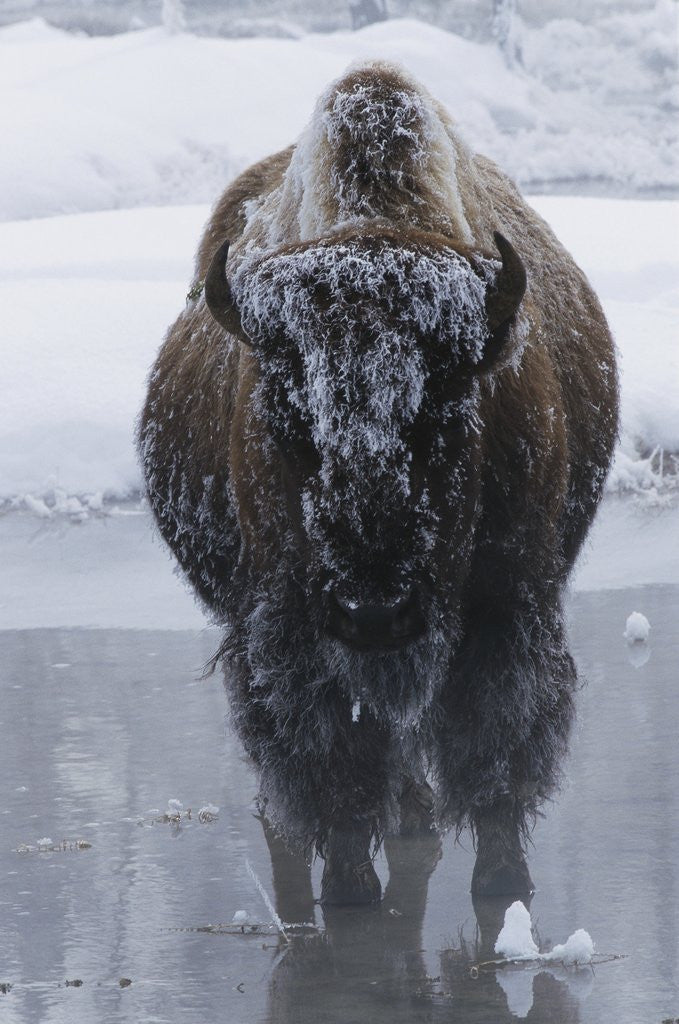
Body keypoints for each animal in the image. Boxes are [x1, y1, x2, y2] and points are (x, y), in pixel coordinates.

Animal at [139, 62, 618, 905]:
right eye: (286, 414)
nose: (373, 610)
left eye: (447, 407)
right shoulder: (291, 634)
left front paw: (503, 885)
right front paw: (351, 890)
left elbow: (493, 761)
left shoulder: (506, 608)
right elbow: (336, 772)